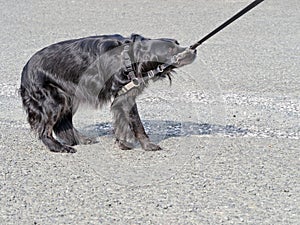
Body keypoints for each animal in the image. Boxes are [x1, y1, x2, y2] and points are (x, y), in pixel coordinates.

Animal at [19, 33, 197, 153]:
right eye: (170, 49)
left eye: (177, 43)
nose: (193, 50)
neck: (130, 56)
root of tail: (25, 70)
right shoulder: (124, 95)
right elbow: (136, 123)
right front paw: (147, 145)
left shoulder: (125, 95)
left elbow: (124, 121)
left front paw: (124, 142)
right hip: (54, 100)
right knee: (45, 131)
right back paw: (59, 147)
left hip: (67, 98)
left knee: (63, 124)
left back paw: (81, 139)